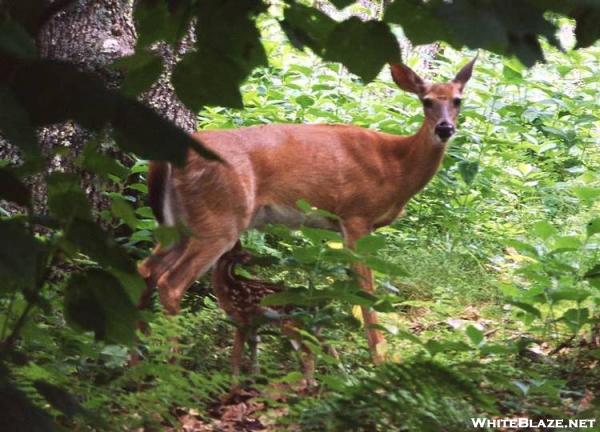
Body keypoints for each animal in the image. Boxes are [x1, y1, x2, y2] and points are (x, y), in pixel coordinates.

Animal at [137, 57, 478, 364]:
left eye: (458, 100)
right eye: (427, 101)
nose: (445, 128)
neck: (396, 166)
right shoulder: (356, 215)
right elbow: (365, 293)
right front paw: (381, 359)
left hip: (179, 223)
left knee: (147, 268)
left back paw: (137, 356)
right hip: (219, 219)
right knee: (170, 282)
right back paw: (172, 364)